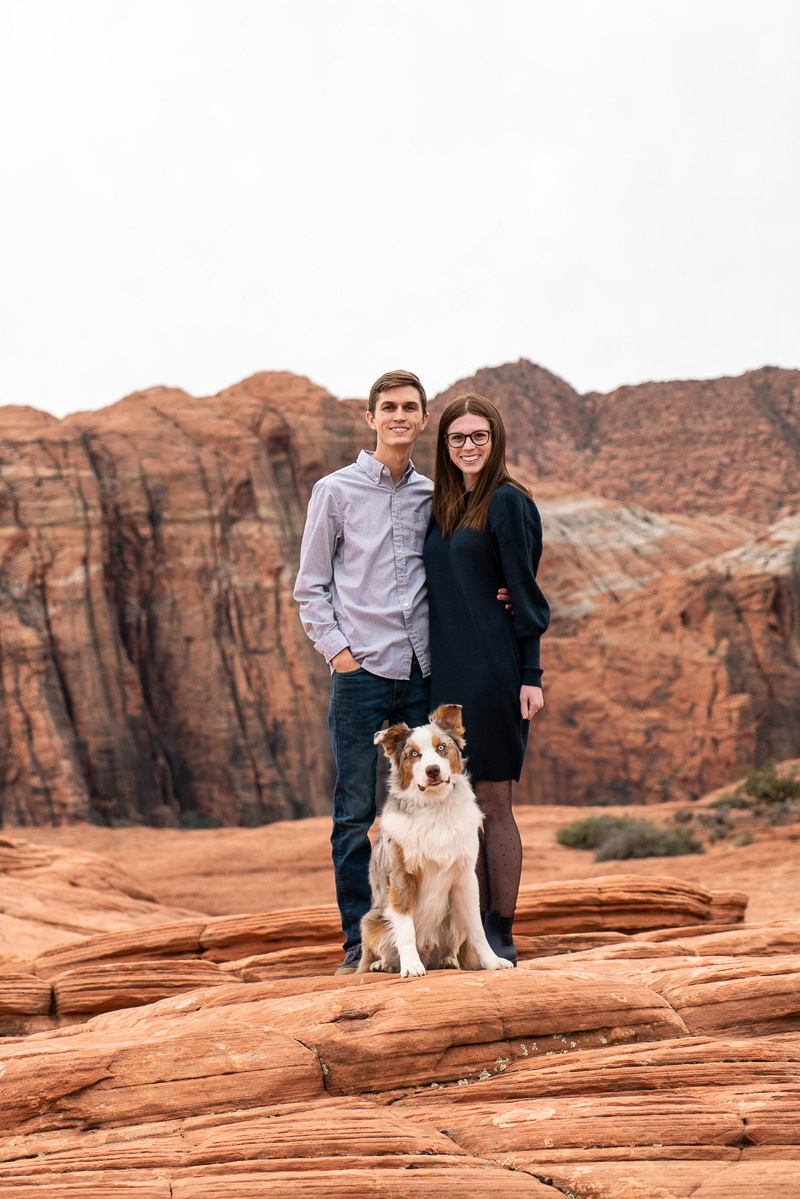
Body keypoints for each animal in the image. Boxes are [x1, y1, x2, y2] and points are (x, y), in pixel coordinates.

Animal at [359, 700, 515, 973]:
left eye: (441, 748)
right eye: (413, 754)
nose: (433, 770)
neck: (435, 805)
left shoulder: (465, 877)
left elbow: (478, 930)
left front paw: (492, 961)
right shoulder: (401, 876)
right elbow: (405, 928)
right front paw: (411, 966)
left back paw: (448, 960)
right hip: (371, 920)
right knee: (379, 949)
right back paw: (383, 965)